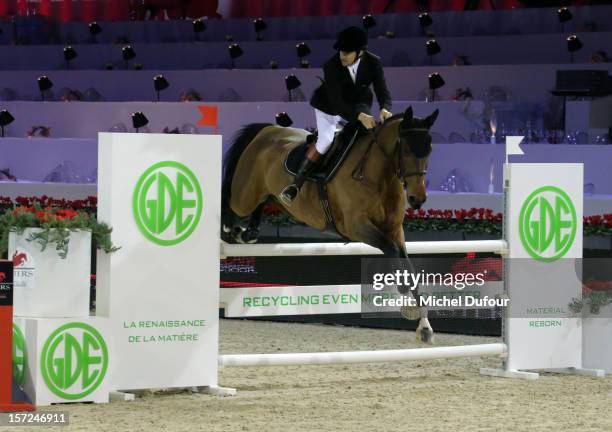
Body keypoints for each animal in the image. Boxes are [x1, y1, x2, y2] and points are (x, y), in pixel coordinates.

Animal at [222, 106, 438, 342]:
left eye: (429, 150)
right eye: (406, 150)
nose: (418, 199)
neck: (379, 175)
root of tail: (267, 130)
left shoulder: (395, 229)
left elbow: (405, 260)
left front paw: (424, 326)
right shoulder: (356, 226)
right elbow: (391, 249)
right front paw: (403, 288)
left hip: (269, 194)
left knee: (264, 201)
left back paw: (248, 232)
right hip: (244, 196)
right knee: (229, 200)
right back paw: (229, 230)